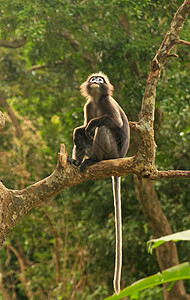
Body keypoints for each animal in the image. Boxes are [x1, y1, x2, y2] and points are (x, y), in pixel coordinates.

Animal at [69, 72, 130, 292]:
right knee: (81, 135)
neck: (96, 100)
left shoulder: (106, 102)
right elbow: (81, 128)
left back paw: (94, 159)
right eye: (93, 79)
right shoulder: (88, 106)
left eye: (100, 80)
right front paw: (80, 130)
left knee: (101, 128)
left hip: (111, 151)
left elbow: (113, 123)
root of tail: (119, 158)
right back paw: (77, 161)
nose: (96, 81)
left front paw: (94, 122)